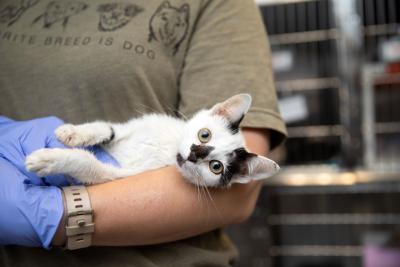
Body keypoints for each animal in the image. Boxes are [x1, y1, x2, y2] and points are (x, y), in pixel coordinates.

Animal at [25, 94, 282, 188]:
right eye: (204, 134)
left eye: (216, 167)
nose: (194, 154)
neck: (167, 148)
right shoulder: (129, 127)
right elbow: (106, 128)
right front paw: (72, 133)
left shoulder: (117, 175)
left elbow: (88, 164)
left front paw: (49, 159)